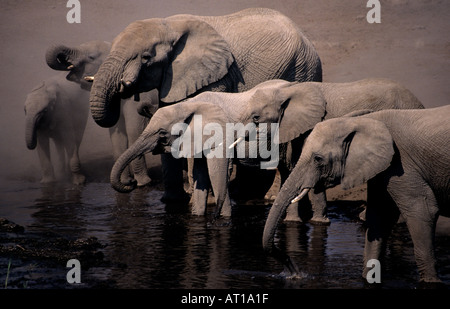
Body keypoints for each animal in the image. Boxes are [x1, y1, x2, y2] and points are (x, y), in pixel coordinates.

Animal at [87, 7, 320, 202]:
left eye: (146, 58)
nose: (130, 186)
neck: (169, 25)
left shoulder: (216, 77)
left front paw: (200, 200)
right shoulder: (173, 78)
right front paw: (171, 202)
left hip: (303, 71)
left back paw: (270, 197)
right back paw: (240, 194)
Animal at [244, 78, 424, 224]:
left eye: (256, 118)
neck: (288, 90)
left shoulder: (313, 124)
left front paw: (317, 222)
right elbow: (296, 166)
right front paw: (294, 221)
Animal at [264, 104, 450, 282]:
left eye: (318, 159)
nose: (295, 272)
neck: (365, 120)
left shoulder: (402, 165)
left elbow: (423, 211)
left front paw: (431, 282)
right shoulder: (383, 167)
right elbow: (379, 216)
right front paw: (369, 278)